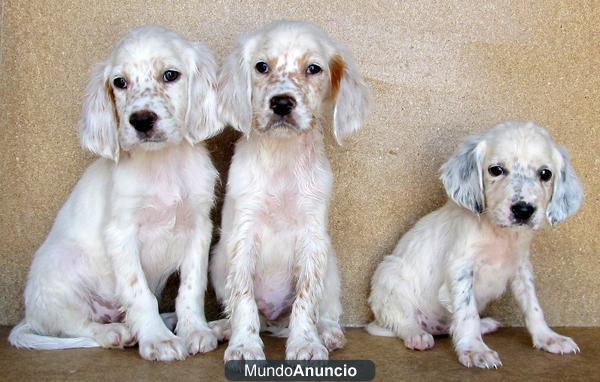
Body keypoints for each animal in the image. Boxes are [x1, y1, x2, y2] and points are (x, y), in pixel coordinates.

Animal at [210, 20, 370, 362]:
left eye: (313, 68)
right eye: (261, 67)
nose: (282, 103)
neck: (282, 156)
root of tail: (273, 319)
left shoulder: (312, 237)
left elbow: (306, 299)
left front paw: (306, 343)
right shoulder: (242, 234)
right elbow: (242, 296)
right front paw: (244, 346)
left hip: (331, 263)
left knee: (326, 311)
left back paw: (329, 334)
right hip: (217, 261)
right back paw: (224, 329)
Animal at [368, 121, 584, 368]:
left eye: (545, 174)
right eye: (496, 170)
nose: (523, 210)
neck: (500, 234)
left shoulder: (521, 268)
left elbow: (533, 307)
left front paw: (548, 338)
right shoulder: (461, 269)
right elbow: (466, 312)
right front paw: (474, 349)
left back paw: (485, 324)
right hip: (389, 277)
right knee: (403, 321)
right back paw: (418, 336)